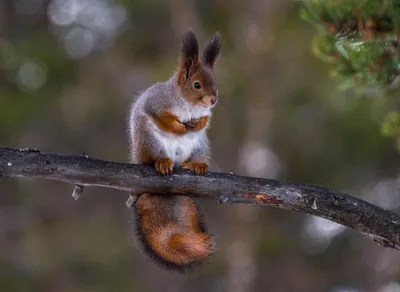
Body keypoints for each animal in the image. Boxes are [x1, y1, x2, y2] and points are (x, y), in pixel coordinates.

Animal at [128, 29, 220, 272]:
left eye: (215, 82)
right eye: (197, 85)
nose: (213, 100)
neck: (189, 105)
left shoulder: (205, 115)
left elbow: (205, 120)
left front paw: (196, 124)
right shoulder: (155, 103)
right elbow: (163, 118)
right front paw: (178, 127)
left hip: (200, 144)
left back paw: (196, 164)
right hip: (149, 140)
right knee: (154, 156)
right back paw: (162, 162)